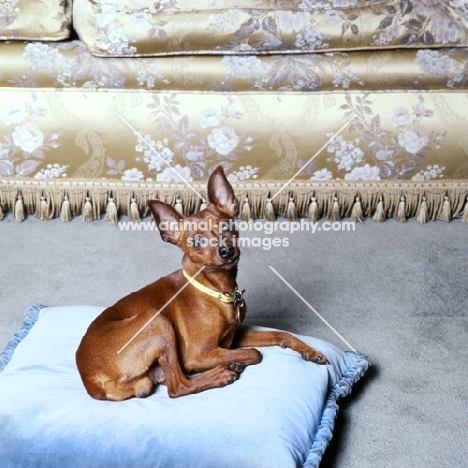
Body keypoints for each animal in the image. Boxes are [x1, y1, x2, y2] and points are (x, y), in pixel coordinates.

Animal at [76, 166, 326, 400]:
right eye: (196, 241)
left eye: (225, 227)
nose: (226, 251)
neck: (216, 291)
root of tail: (90, 381)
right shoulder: (198, 355)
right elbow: (255, 353)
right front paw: (229, 364)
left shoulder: (234, 335)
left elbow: (281, 334)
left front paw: (310, 351)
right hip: (157, 321)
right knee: (178, 386)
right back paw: (222, 372)